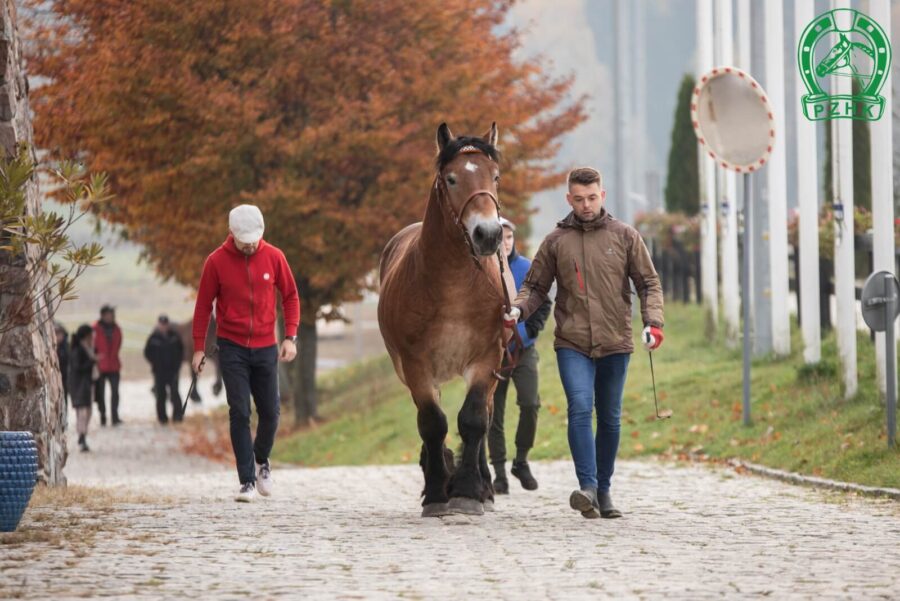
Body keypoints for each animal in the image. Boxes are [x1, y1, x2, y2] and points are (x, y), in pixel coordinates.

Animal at [378, 122, 512, 516]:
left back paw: (484, 486)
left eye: (495, 176)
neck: (453, 285)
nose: (489, 234)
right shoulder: (416, 364)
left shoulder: (487, 358)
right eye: (451, 179)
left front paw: (467, 492)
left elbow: (473, 419)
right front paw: (438, 492)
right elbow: (432, 422)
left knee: (484, 416)